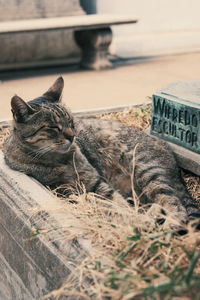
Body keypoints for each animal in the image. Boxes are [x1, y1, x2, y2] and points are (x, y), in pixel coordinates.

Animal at [3, 77, 200, 225]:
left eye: (71, 121)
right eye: (53, 127)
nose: (72, 136)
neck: (61, 160)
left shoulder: (96, 181)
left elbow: (118, 203)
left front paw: (135, 220)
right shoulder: (64, 190)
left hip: (147, 170)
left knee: (175, 206)